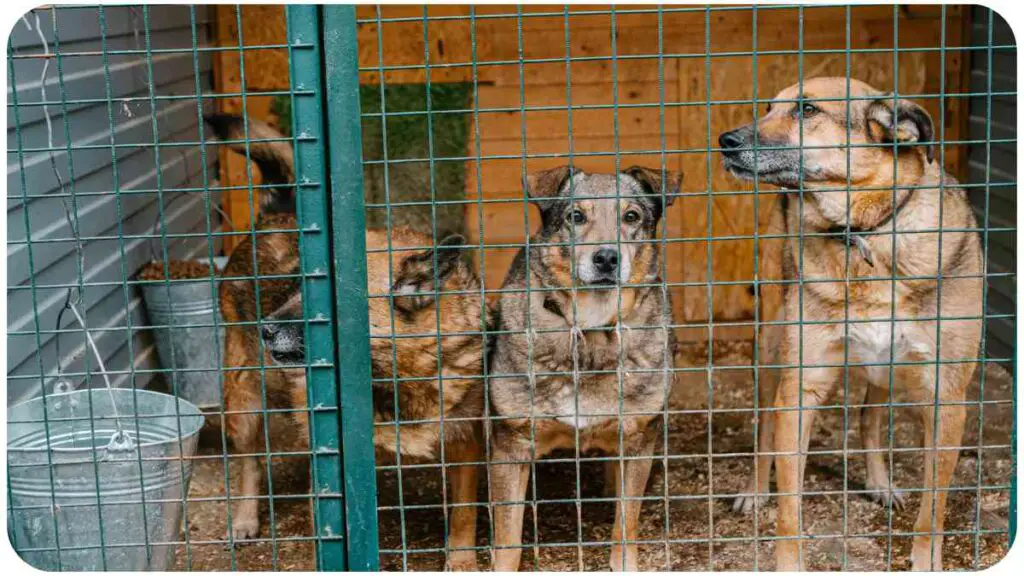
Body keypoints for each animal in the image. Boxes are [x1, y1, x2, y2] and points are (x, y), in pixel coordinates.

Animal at [716, 77, 987, 569]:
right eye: (768, 109)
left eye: (807, 110)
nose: (725, 141)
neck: (866, 232)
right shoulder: (799, 389)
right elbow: (789, 511)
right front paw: (788, 564)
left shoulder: (946, 399)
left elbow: (932, 509)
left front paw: (925, 561)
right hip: (771, 347)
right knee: (764, 428)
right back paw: (754, 489)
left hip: (887, 369)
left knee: (869, 418)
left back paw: (880, 483)